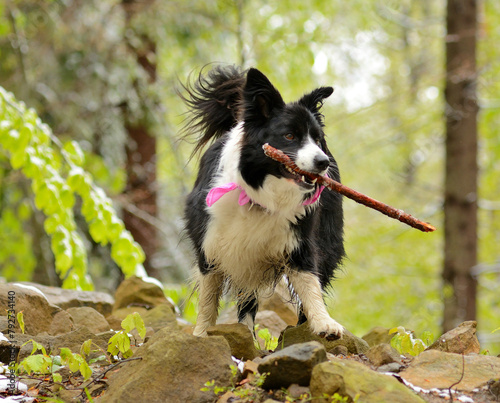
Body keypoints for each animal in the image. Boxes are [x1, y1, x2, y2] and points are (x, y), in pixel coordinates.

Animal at [182, 66, 346, 340]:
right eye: (289, 135)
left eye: (317, 139)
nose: (324, 163)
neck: (260, 195)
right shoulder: (210, 243)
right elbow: (208, 298)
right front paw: (201, 334)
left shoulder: (298, 240)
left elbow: (309, 281)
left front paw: (325, 324)